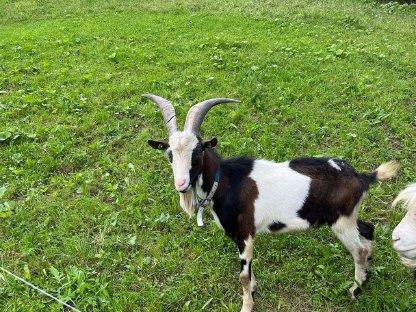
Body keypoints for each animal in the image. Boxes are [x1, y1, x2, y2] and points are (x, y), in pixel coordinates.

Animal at [144, 94, 400, 312]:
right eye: (169, 153)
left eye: (197, 152)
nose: (181, 183)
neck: (224, 181)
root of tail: (362, 177)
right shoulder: (241, 237)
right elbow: (248, 270)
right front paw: (254, 290)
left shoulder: (245, 231)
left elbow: (242, 275)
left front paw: (246, 305)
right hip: (348, 215)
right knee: (368, 229)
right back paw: (366, 276)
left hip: (341, 221)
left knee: (359, 250)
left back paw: (355, 290)